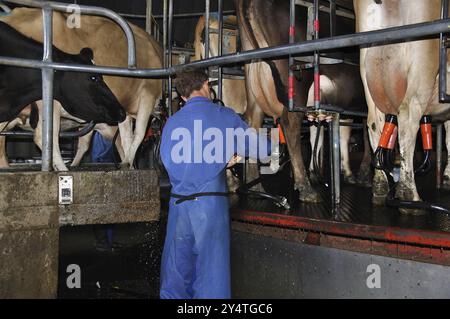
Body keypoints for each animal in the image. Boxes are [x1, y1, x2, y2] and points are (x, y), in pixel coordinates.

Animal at [356, 0, 450, 215]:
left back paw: (380, 188)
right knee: (407, 123)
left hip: (367, 71)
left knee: (374, 123)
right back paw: (410, 197)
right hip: (422, 66)